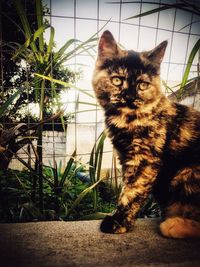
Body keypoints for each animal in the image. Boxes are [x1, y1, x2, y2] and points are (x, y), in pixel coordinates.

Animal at [92, 30, 200, 239]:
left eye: (142, 85)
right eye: (117, 80)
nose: (130, 97)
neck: (127, 120)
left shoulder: (144, 159)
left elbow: (131, 192)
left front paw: (117, 222)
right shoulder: (125, 157)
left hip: (187, 172)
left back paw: (172, 225)